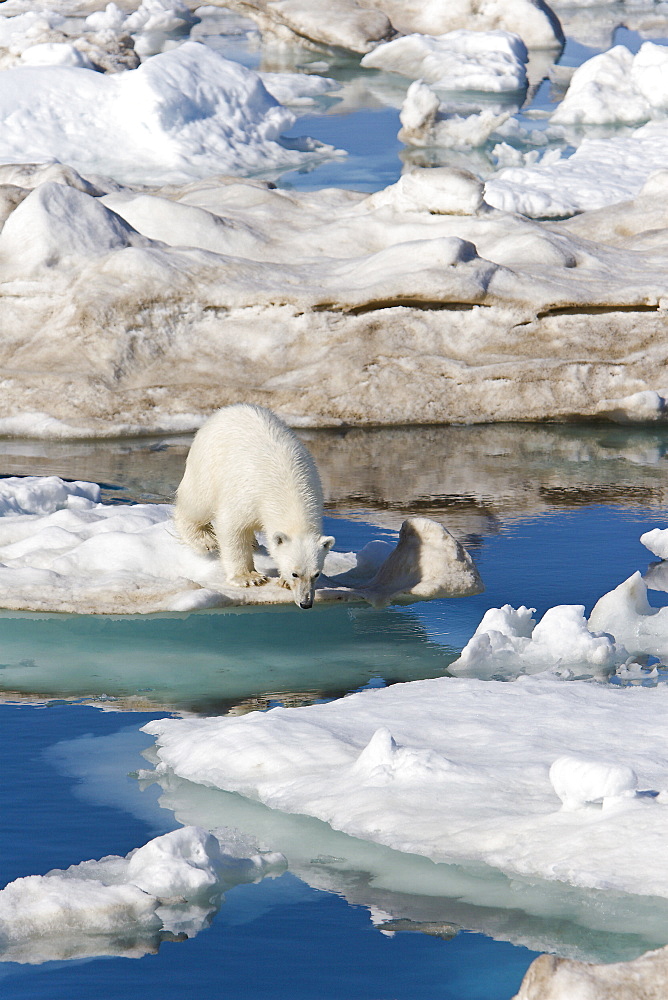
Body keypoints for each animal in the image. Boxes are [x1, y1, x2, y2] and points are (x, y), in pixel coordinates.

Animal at [176, 400, 336, 604]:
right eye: (295, 573)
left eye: (316, 574)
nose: (305, 602)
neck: (289, 488)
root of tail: (229, 408)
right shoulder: (247, 493)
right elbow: (232, 528)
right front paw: (249, 578)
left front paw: (281, 581)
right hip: (207, 463)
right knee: (197, 502)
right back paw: (203, 539)